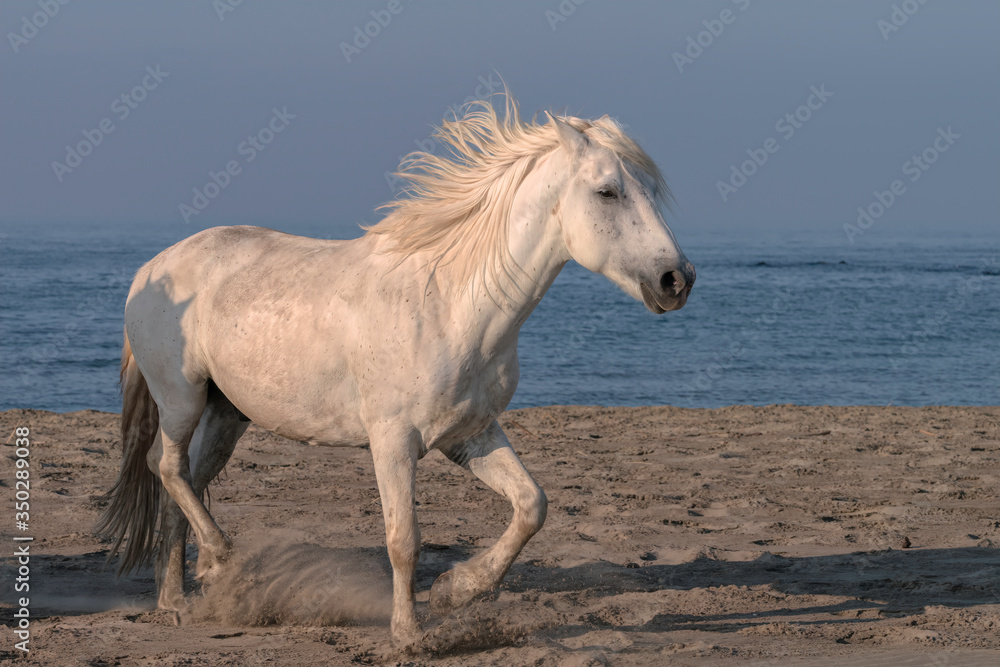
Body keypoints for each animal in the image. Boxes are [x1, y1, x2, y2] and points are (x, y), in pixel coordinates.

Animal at [97, 94, 695, 647]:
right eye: (607, 191)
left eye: (646, 189)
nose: (677, 280)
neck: (451, 305)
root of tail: (152, 269)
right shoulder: (393, 441)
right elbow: (403, 539)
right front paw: (408, 633)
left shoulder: (470, 435)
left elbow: (532, 506)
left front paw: (458, 590)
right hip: (182, 399)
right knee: (166, 468)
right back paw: (217, 561)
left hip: (228, 415)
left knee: (185, 484)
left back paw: (180, 596)